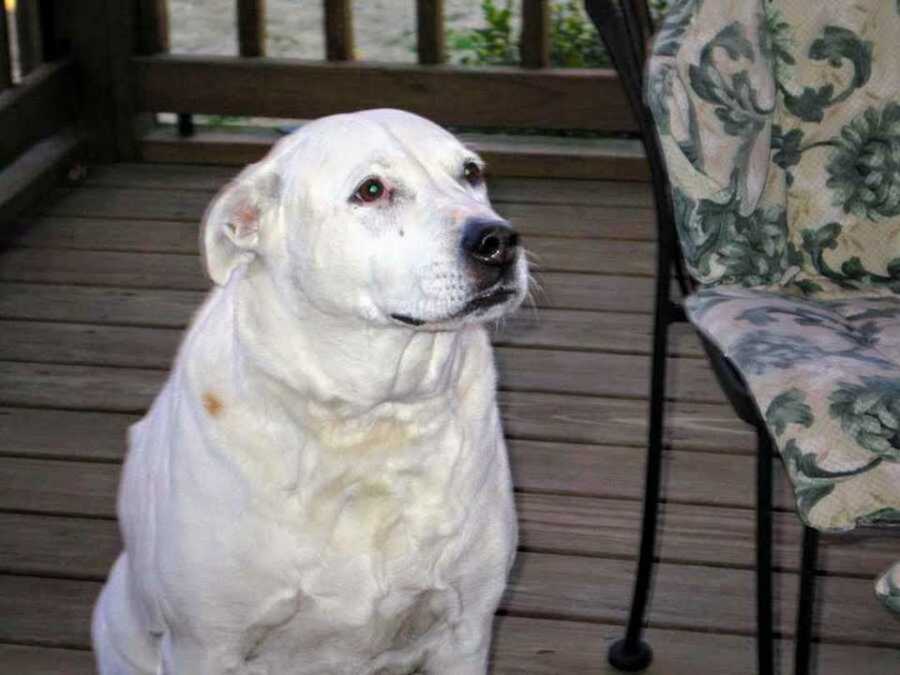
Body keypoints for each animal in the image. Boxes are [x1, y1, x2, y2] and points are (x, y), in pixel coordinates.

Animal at [91, 108, 528, 672]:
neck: (370, 418)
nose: (499, 241)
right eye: (371, 189)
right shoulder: (203, 646)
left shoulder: (466, 632)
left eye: (470, 172)